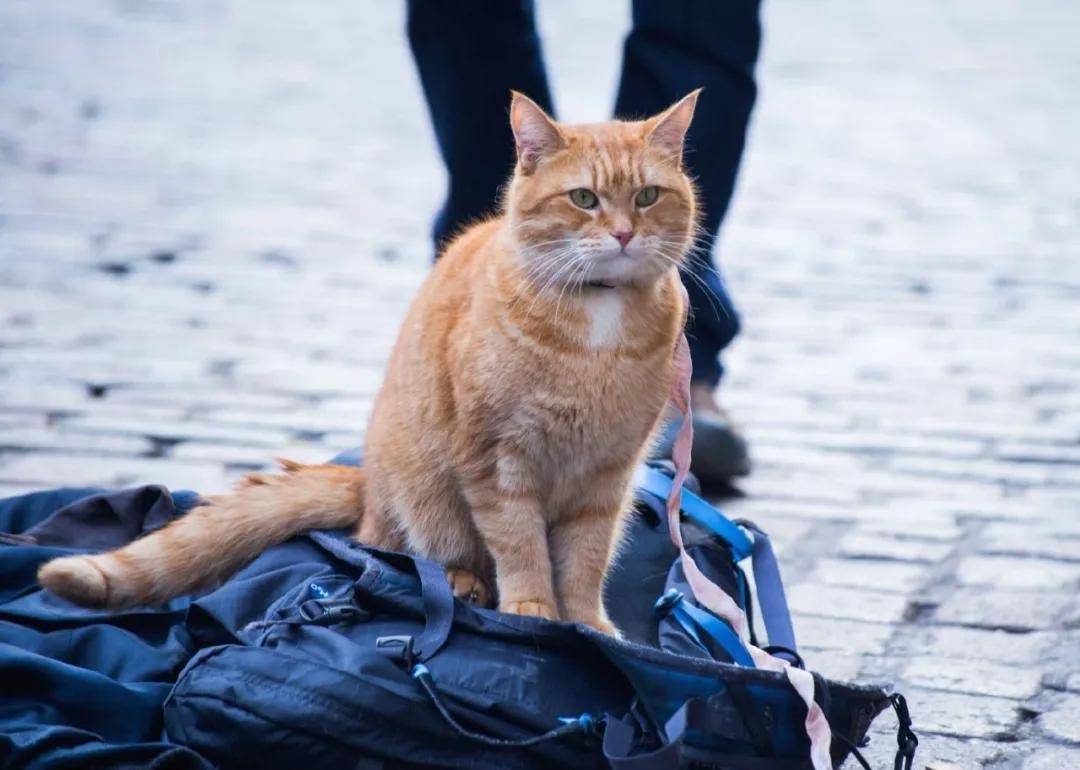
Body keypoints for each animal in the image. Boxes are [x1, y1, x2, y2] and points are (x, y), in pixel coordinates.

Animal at [38, 90, 699, 635]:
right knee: (404, 546)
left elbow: (585, 559)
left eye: (646, 196)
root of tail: (367, 479)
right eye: (584, 199)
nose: (622, 235)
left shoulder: (607, 476)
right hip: (423, 492)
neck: (599, 324)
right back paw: (460, 580)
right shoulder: (497, 460)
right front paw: (533, 608)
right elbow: (521, 545)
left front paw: (584, 623)